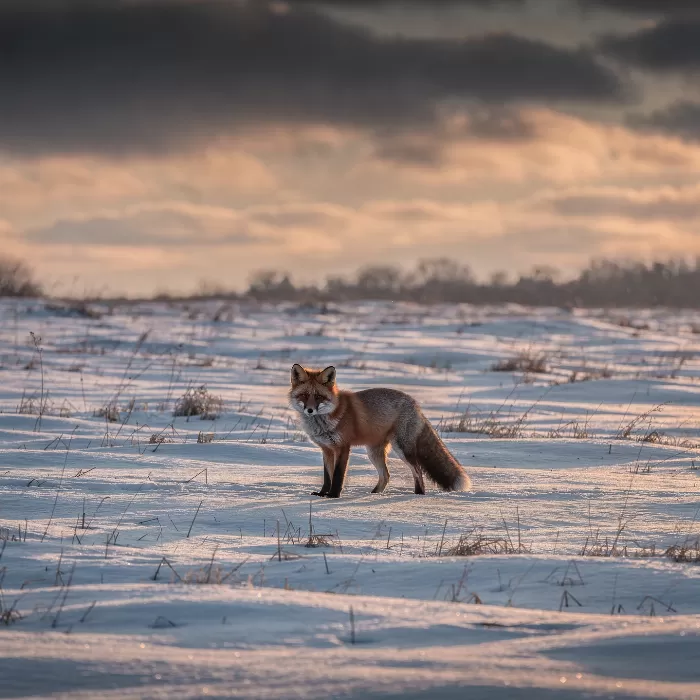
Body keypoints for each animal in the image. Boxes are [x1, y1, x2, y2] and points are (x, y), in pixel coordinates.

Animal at [289, 364, 471, 499]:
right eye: (304, 395)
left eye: (319, 397)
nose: (310, 410)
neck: (324, 422)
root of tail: (415, 404)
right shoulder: (326, 449)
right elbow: (328, 476)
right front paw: (322, 493)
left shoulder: (343, 447)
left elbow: (338, 475)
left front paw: (333, 496)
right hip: (374, 452)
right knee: (386, 476)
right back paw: (374, 494)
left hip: (402, 449)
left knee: (417, 471)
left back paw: (418, 494)